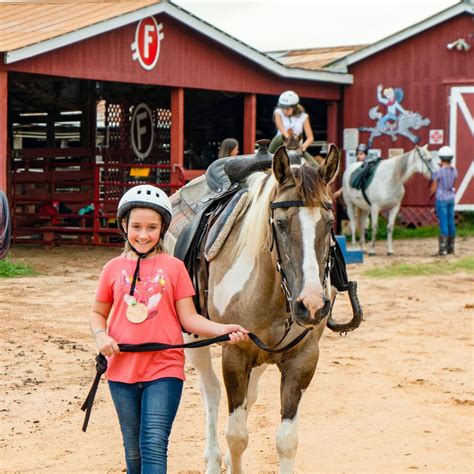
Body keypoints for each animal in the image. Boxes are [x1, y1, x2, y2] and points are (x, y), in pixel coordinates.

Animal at [167, 146, 360, 472]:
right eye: (280, 223)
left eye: (329, 223)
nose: (311, 306)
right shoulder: (235, 353)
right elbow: (236, 436)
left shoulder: (303, 357)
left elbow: (286, 440)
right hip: (193, 338)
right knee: (211, 391)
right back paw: (212, 460)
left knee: (250, 396)